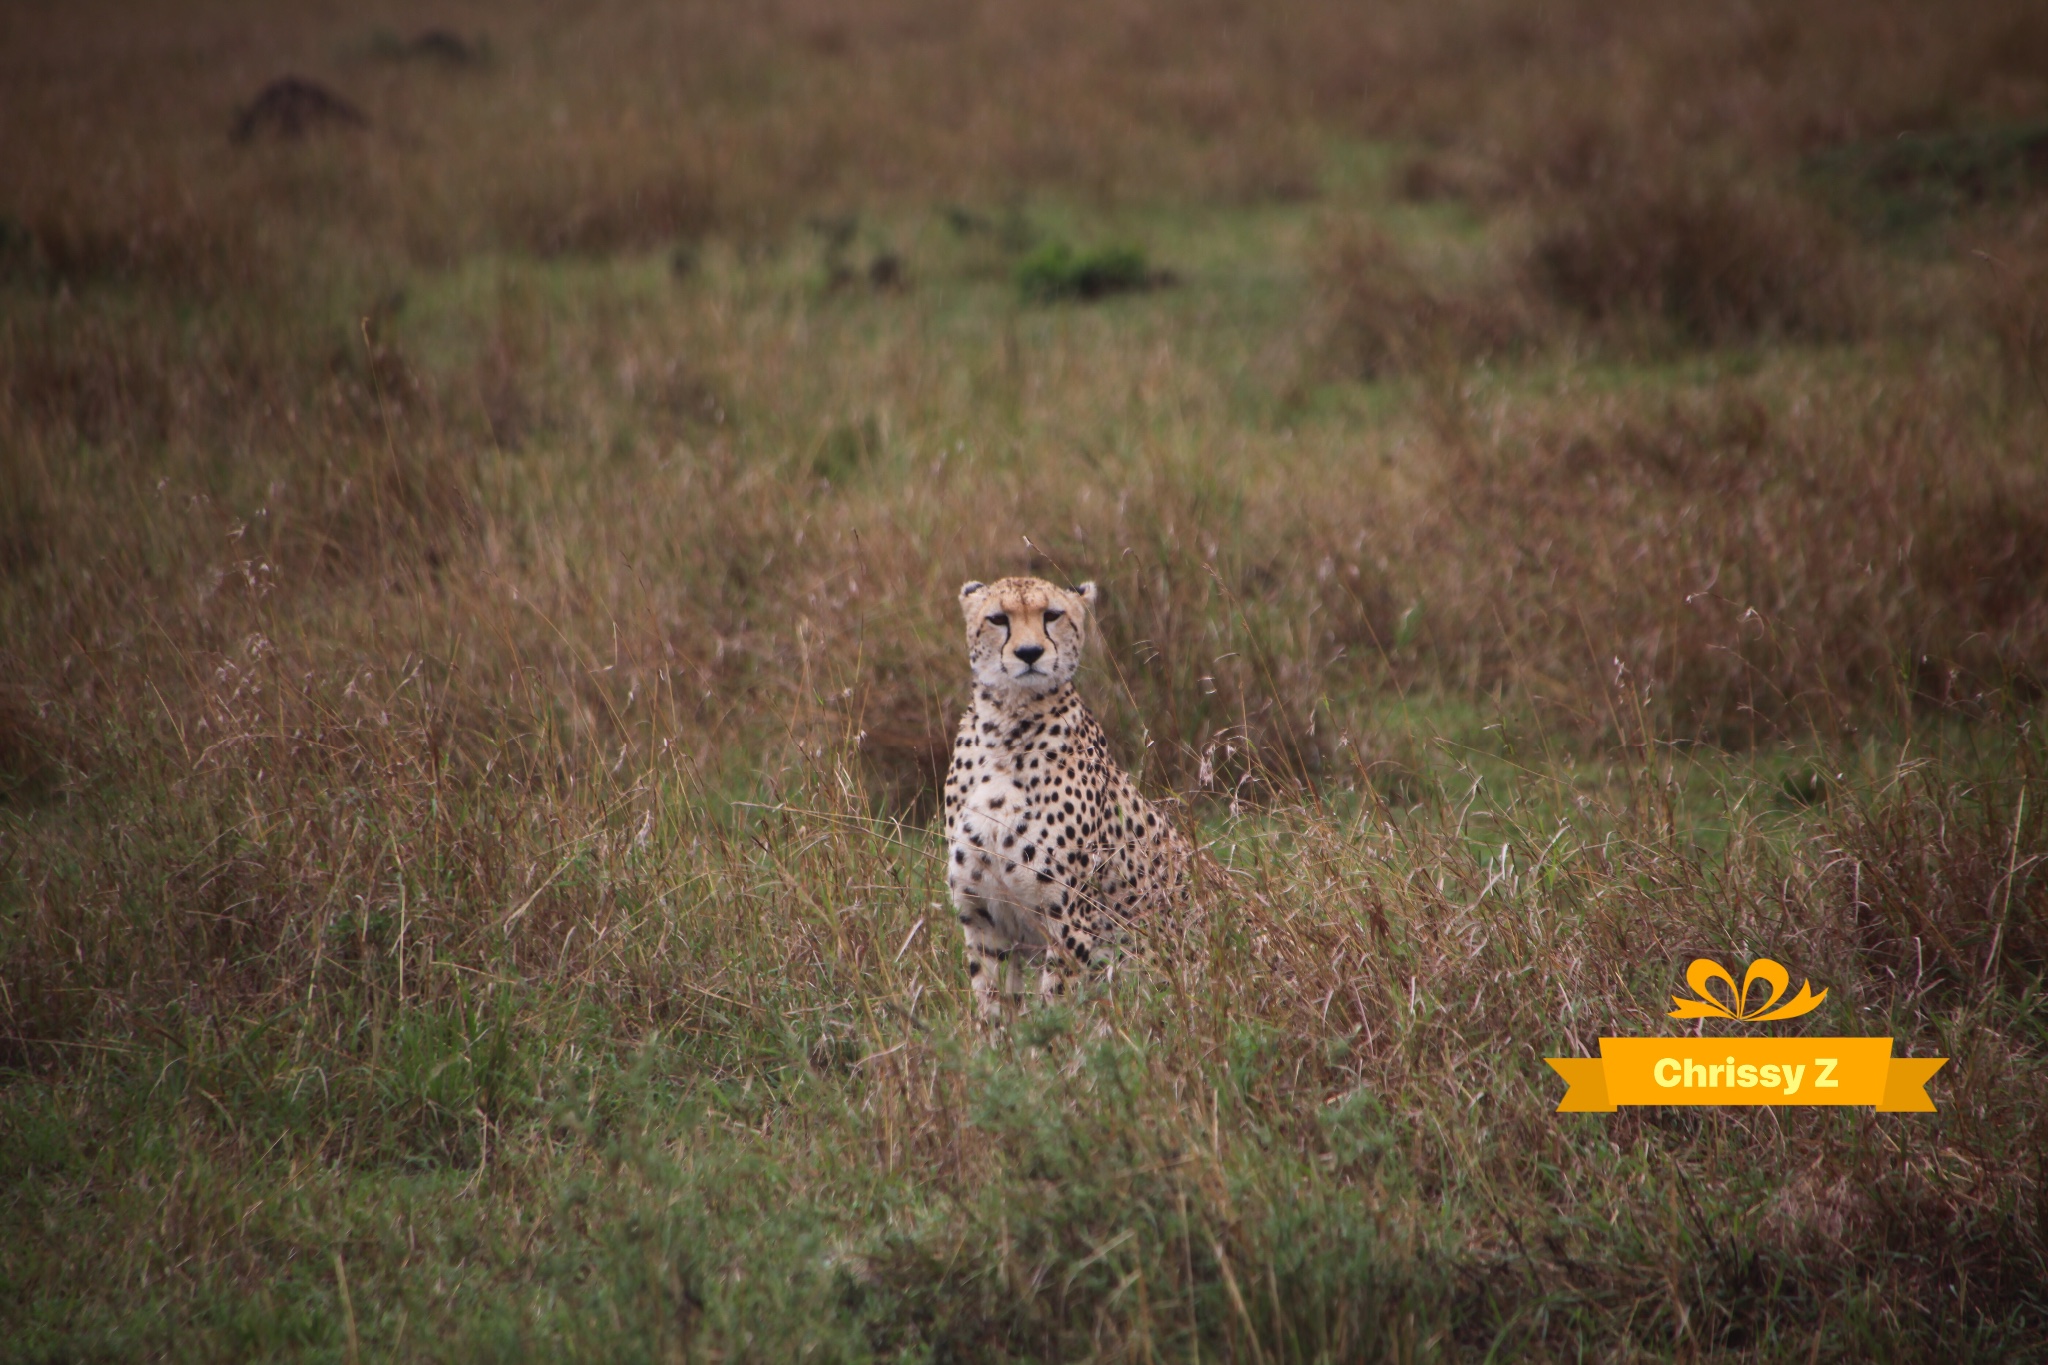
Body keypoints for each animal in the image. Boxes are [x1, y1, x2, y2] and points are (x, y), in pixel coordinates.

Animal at [937, 573, 1196, 1019]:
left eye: (1052, 615)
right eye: (998, 618)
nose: (1029, 653)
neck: (1007, 724)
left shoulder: (1068, 921)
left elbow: (1056, 1009)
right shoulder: (983, 918)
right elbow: (993, 1008)